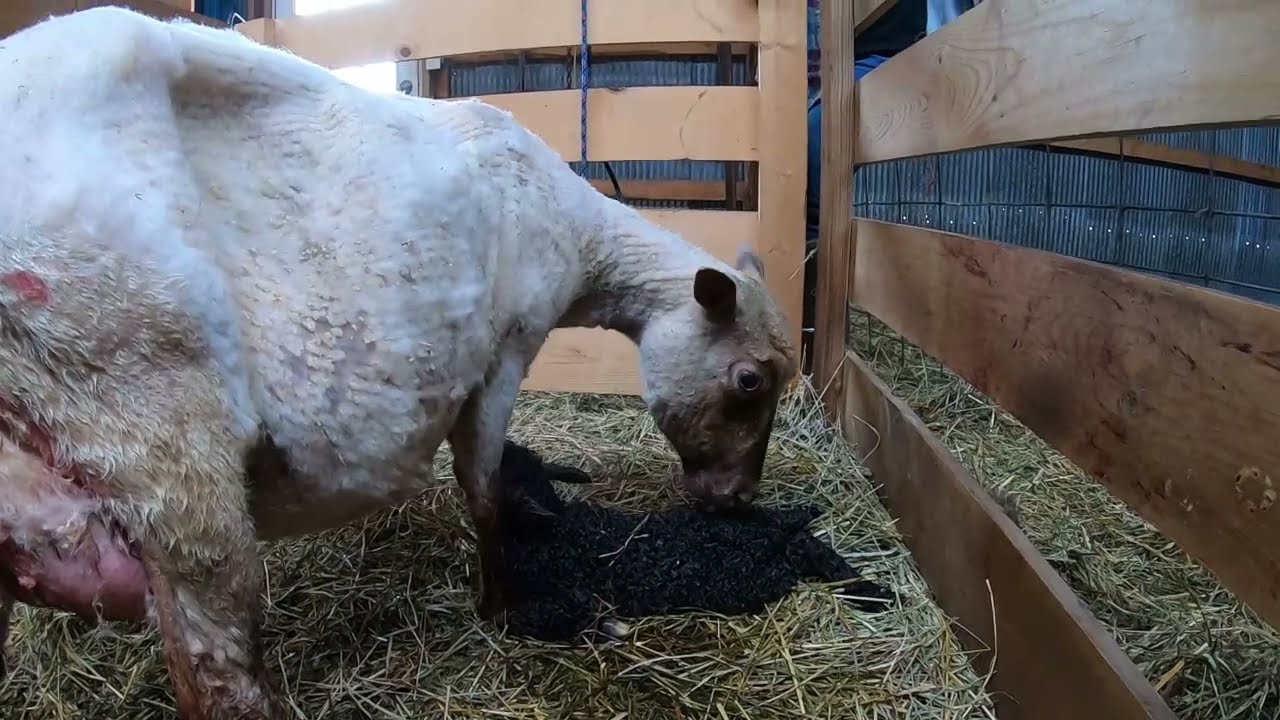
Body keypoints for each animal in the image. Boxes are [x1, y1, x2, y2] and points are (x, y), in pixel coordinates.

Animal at [0, 7, 798, 719]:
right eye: (749, 380)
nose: (737, 499)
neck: (578, 232)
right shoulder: (507, 349)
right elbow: (483, 487)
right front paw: (502, 606)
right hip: (159, 433)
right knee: (221, 678)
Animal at [495, 441, 895, 642]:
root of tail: (773, 532)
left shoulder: (567, 595)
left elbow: (517, 619)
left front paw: (606, 629)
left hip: (757, 579)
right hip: (768, 540)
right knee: (808, 541)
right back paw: (872, 589)